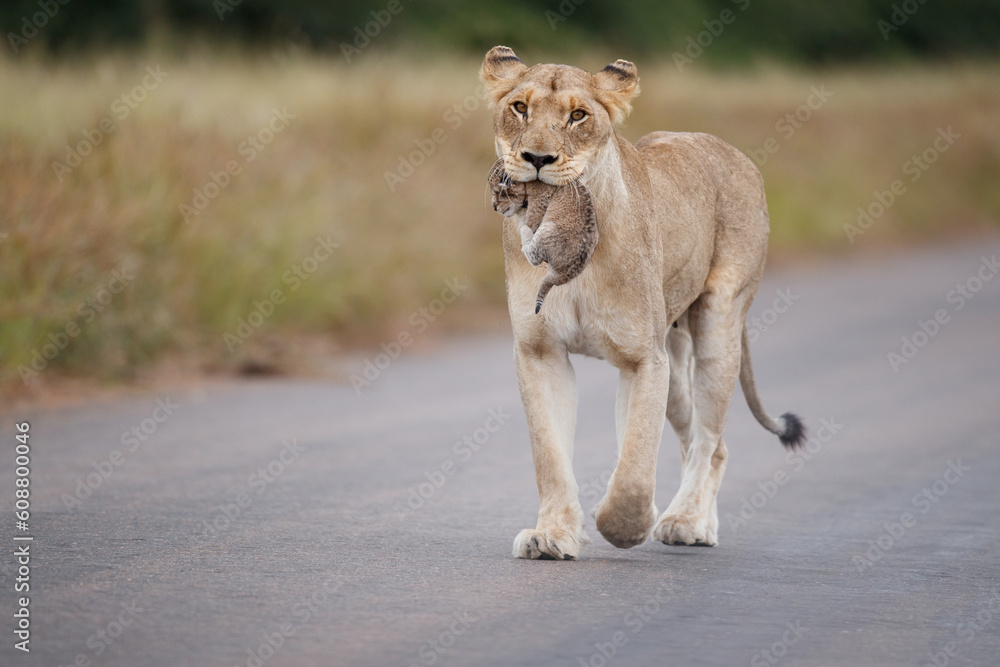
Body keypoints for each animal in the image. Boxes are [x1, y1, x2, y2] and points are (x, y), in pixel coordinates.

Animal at [481, 46, 805, 560]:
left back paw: (685, 522)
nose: (537, 158)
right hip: (675, 361)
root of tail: (734, 152)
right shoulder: (540, 352)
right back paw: (701, 522)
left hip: (717, 327)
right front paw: (552, 535)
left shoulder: (644, 360)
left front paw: (625, 526)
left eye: (578, 115)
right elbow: (549, 454)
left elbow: (634, 463)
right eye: (519, 108)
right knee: (700, 440)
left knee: (710, 440)